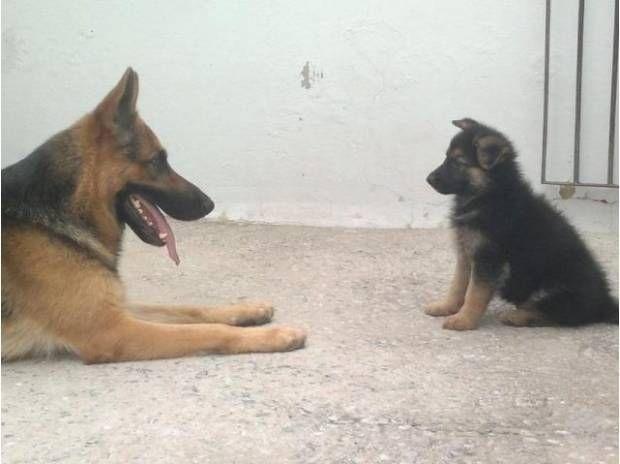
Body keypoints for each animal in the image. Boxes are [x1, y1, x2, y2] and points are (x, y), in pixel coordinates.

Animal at [1, 67, 306, 362]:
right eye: (158, 161)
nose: (209, 204)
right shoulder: (112, 330)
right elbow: (208, 331)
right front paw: (276, 335)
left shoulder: (118, 309)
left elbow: (191, 310)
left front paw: (247, 309)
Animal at [426, 118, 616, 332]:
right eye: (446, 158)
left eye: (459, 162)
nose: (428, 179)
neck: (488, 194)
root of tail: (604, 302)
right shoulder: (466, 253)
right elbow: (458, 285)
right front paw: (446, 307)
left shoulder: (488, 258)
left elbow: (475, 292)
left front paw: (464, 320)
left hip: (555, 288)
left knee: (558, 315)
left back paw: (516, 316)